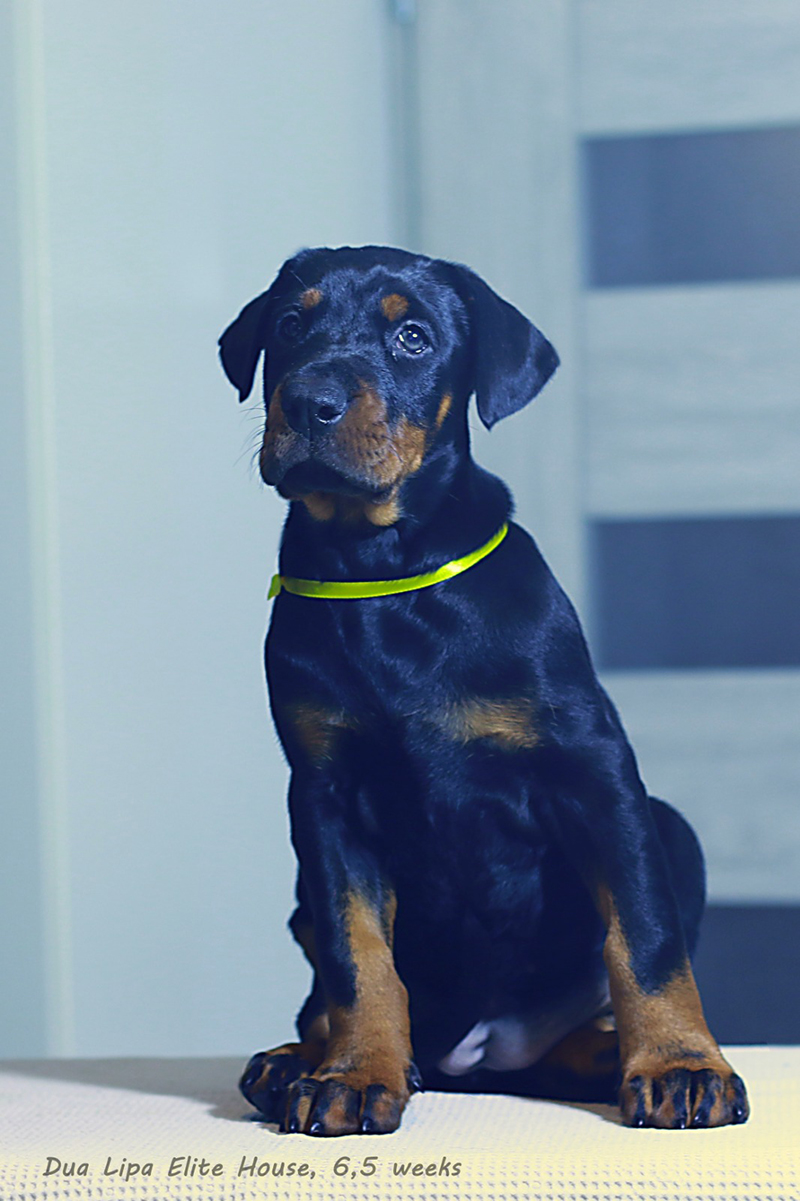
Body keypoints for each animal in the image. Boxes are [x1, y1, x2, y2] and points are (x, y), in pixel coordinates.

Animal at [219, 245, 749, 1136]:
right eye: (290, 324)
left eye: (413, 336)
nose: (308, 401)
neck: (382, 573)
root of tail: (474, 1055)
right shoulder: (324, 796)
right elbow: (356, 951)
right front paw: (355, 1073)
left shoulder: (594, 768)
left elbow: (644, 933)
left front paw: (679, 1063)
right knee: (330, 992)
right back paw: (299, 1061)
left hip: (667, 832)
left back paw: (613, 1055)